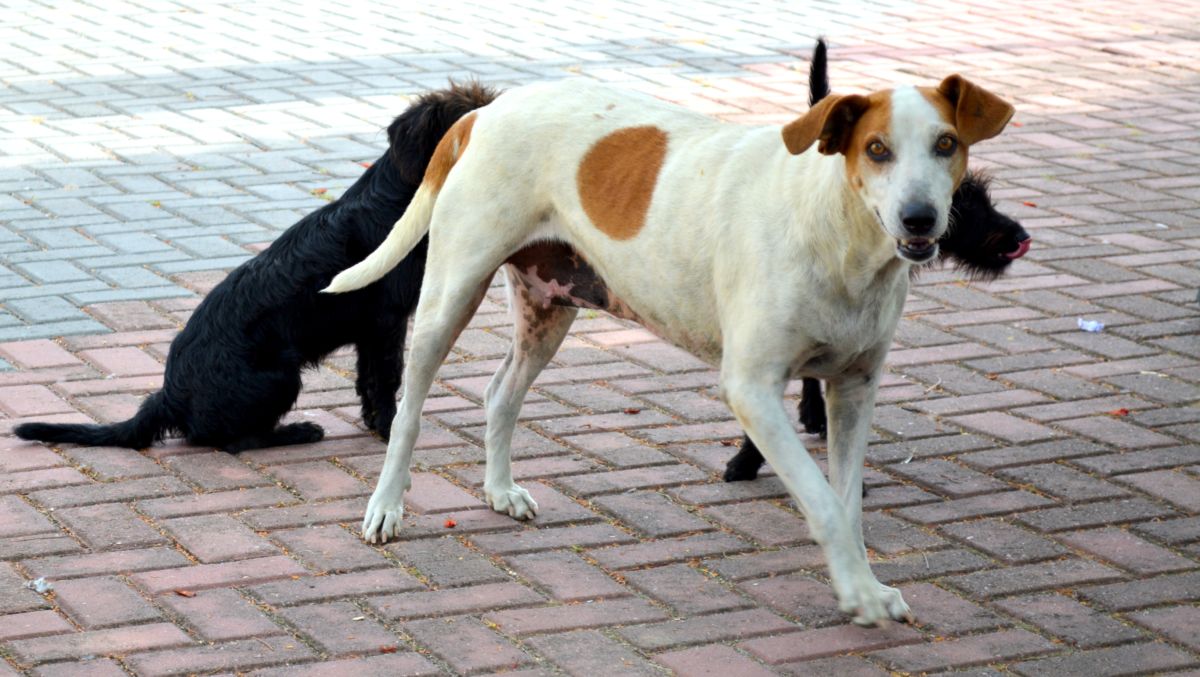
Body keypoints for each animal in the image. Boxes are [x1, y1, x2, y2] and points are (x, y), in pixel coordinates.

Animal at [15, 85, 492, 453]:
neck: (403, 199)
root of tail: (169, 396)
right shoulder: (385, 322)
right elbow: (385, 378)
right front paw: (390, 429)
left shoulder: (369, 331)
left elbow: (366, 380)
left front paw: (375, 422)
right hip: (281, 375)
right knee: (232, 441)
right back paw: (298, 431)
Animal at [326, 76, 1012, 628]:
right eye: (876, 149)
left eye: (946, 144)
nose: (920, 218)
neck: (837, 234)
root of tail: (484, 112)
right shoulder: (753, 389)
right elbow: (821, 501)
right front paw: (858, 596)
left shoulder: (853, 390)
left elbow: (848, 507)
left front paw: (867, 585)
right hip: (449, 297)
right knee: (409, 413)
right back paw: (385, 508)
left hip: (549, 310)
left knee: (500, 395)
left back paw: (500, 491)